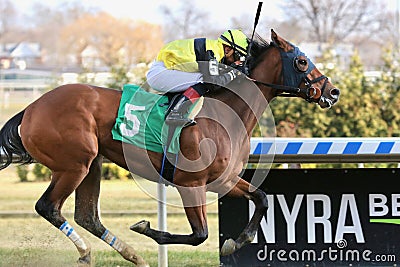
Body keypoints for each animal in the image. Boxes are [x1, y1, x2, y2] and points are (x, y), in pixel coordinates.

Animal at [0, 29, 340, 267]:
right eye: (302, 61)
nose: (333, 91)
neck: (225, 115)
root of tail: (30, 109)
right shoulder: (191, 183)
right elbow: (199, 235)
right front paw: (145, 227)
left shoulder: (224, 180)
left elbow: (262, 198)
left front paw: (236, 241)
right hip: (74, 164)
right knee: (48, 206)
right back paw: (88, 251)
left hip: (92, 163)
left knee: (87, 216)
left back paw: (131, 255)